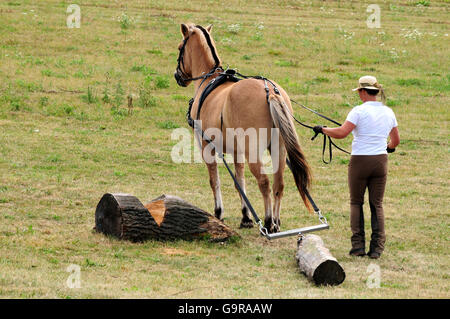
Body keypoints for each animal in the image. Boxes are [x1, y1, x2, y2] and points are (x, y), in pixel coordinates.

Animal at [174, 21, 312, 232]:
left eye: (180, 47)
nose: (177, 76)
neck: (209, 80)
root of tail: (269, 91)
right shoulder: (237, 152)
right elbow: (240, 182)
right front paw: (245, 216)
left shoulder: (207, 148)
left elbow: (215, 181)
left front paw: (218, 213)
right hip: (279, 149)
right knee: (278, 183)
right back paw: (276, 221)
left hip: (253, 152)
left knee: (264, 183)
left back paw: (269, 221)